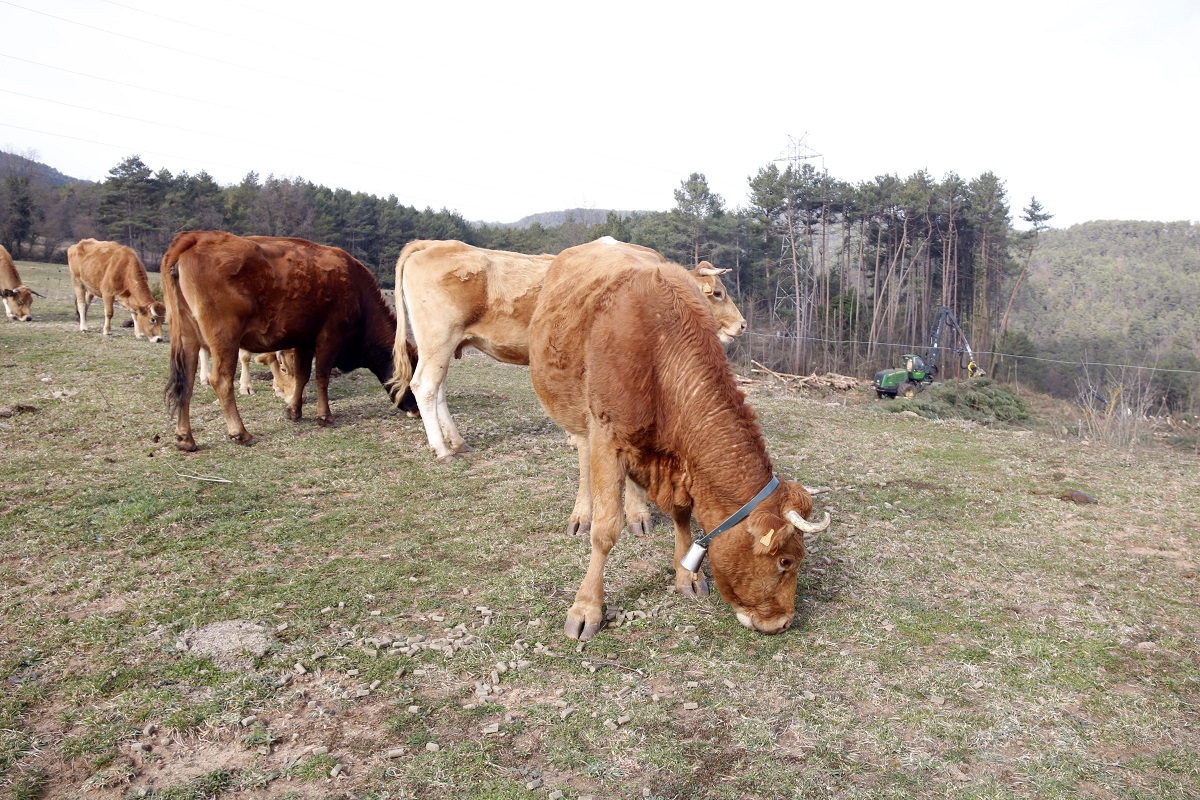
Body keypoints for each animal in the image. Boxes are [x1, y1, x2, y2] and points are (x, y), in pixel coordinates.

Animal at [161, 230, 418, 451]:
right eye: (414, 373)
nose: (416, 410)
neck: (356, 288)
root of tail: (196, 237)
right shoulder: (329, 337)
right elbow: (321, 376)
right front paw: (325, 415)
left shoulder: (303, 342)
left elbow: (302, 375)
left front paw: (294, 410)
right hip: (225, 340)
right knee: (222, 381)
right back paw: (240, 433)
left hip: (188, 339)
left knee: (186, 382)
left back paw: (185, 438)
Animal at [390, 237, 746, 465]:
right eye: (717, 293)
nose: (742, 325)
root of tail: (433, 244)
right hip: (439, 339)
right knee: (425, 386)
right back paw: (443, 449)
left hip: (440, 346)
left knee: (437, 389)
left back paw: (457, 442)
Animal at [528, 238, 830, 641]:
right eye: (786, 560)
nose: (782, 623)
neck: (659, 353)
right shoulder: (606, 434)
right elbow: (606, 531)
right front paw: (587, 606)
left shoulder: (678, 461)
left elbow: (683, 513)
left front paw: (687, 574)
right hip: (576, 412)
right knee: (583, 457)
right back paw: (582, 513)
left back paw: (638, 513)